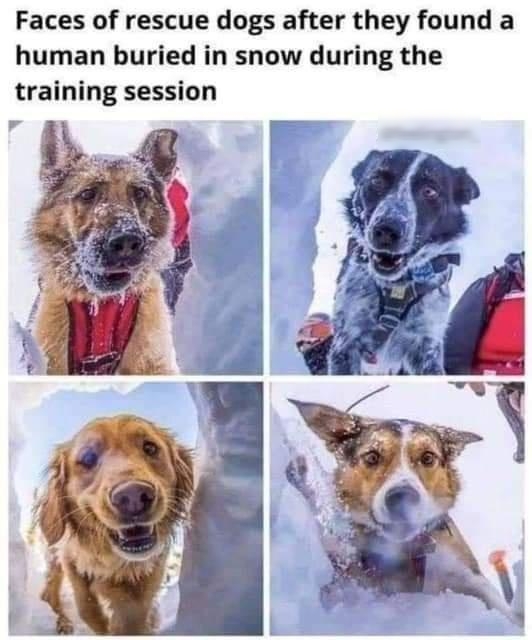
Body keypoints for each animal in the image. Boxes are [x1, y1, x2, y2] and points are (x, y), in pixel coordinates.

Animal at [34, 416, 194, 636]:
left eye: (150, 448)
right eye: (88, 458)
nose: (133, 496)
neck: (115, 560)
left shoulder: (150, 571)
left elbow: (133, 616)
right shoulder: (69, 556)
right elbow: (85, 603)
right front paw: (102, 625)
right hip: (53, 557)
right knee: (49, 593)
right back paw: (63, 622)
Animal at [286, 400, 524, 624]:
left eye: (428, 457)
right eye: (372, 457)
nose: (402, 497)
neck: (407, 550)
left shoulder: (466, 572)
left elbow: (500, 605)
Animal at [330, 149, 480, 376]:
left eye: (430, 191)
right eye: (376, 180)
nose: (386, 230)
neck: (396, 289)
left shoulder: (426, 345)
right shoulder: (346, 342)